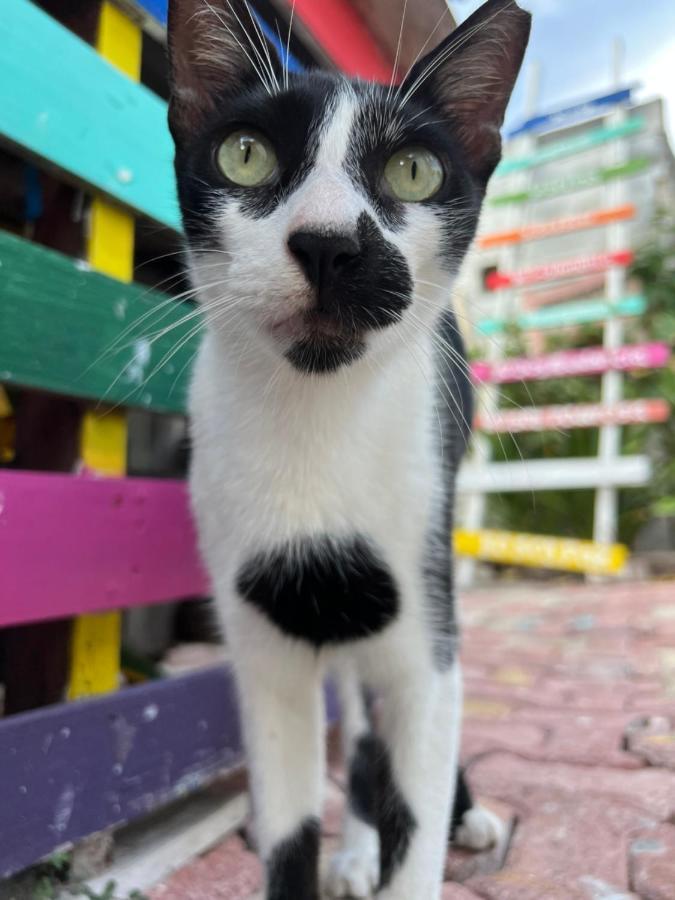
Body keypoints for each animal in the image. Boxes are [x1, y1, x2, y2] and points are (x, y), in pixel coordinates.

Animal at [168, 3, 528, 896]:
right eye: (245, 154)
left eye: (412, 172)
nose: (330, 243)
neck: (314, 424)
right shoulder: (263, 648)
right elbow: (290, 832)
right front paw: (335, 851)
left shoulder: (421, 628)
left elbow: (417, 813)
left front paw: (424, 834)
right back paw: (359, 848)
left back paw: (462, 816)